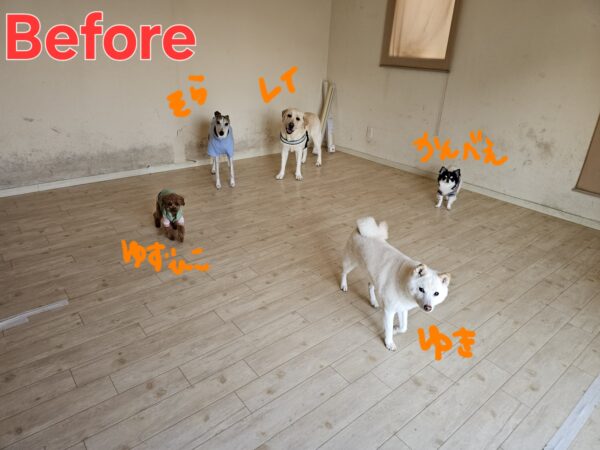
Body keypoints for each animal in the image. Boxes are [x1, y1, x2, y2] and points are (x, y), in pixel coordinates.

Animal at [341, 217, 451, 351]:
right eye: (421, 289)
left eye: (436, 293)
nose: (427, 307)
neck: (403, 283)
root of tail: (362, 229)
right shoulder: (389, 311)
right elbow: (388, 329)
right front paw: (389, 342)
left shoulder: (402, 308)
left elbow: (404, 327)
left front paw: (396, 330)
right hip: (351, 262)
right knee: (344, 272)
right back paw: (343, 285)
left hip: (373, 276)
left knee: (369, 286)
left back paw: (373, 301)